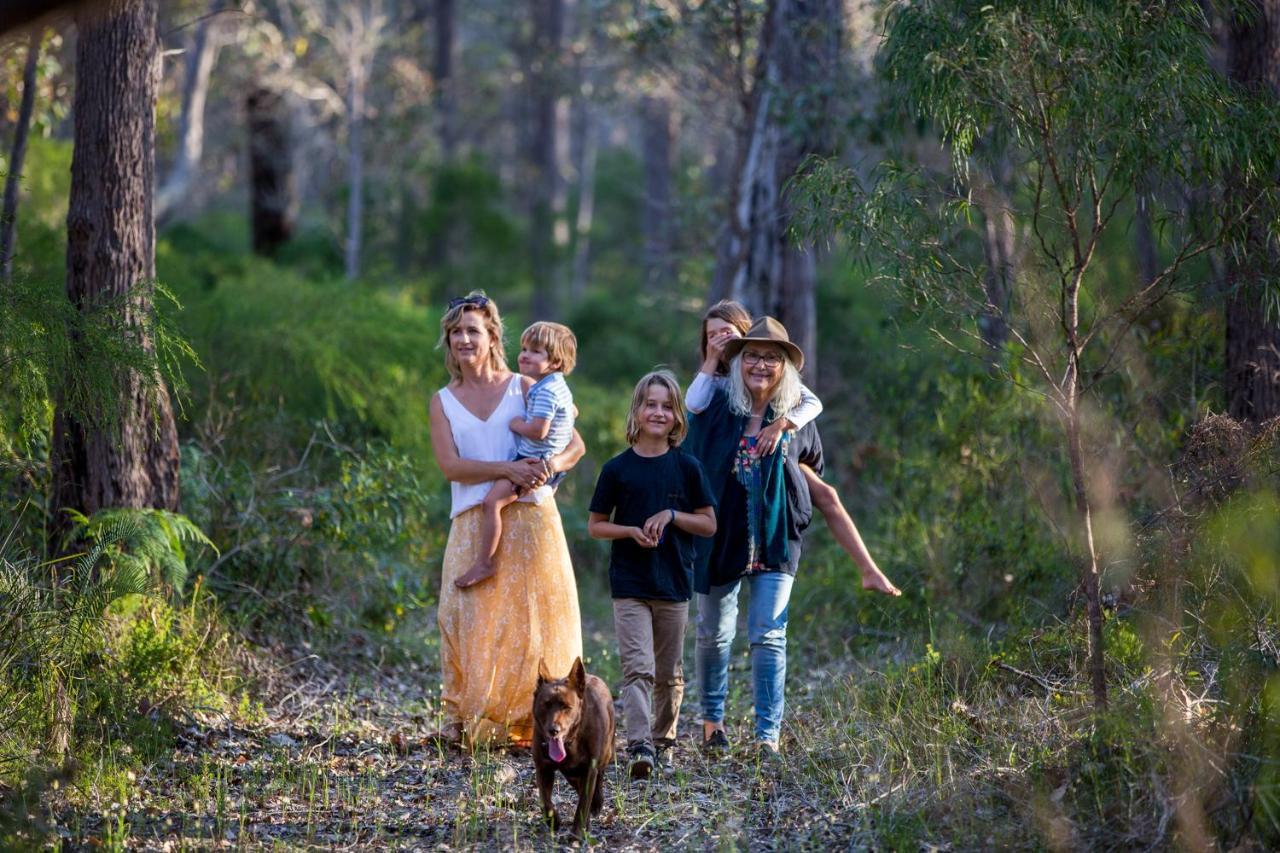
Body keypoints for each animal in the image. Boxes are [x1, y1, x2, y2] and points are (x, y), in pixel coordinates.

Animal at [532, 653, 616, 835]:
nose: (553, 730)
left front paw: (577, 832)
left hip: (606, 753)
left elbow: (583, 803)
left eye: (566, 707)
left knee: (599, 777)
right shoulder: (543, 767)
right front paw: (553, 820)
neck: (571, 742)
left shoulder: (590, 769)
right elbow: (545, 799)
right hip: (570, 773)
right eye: (545, 705)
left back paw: (597, 803)